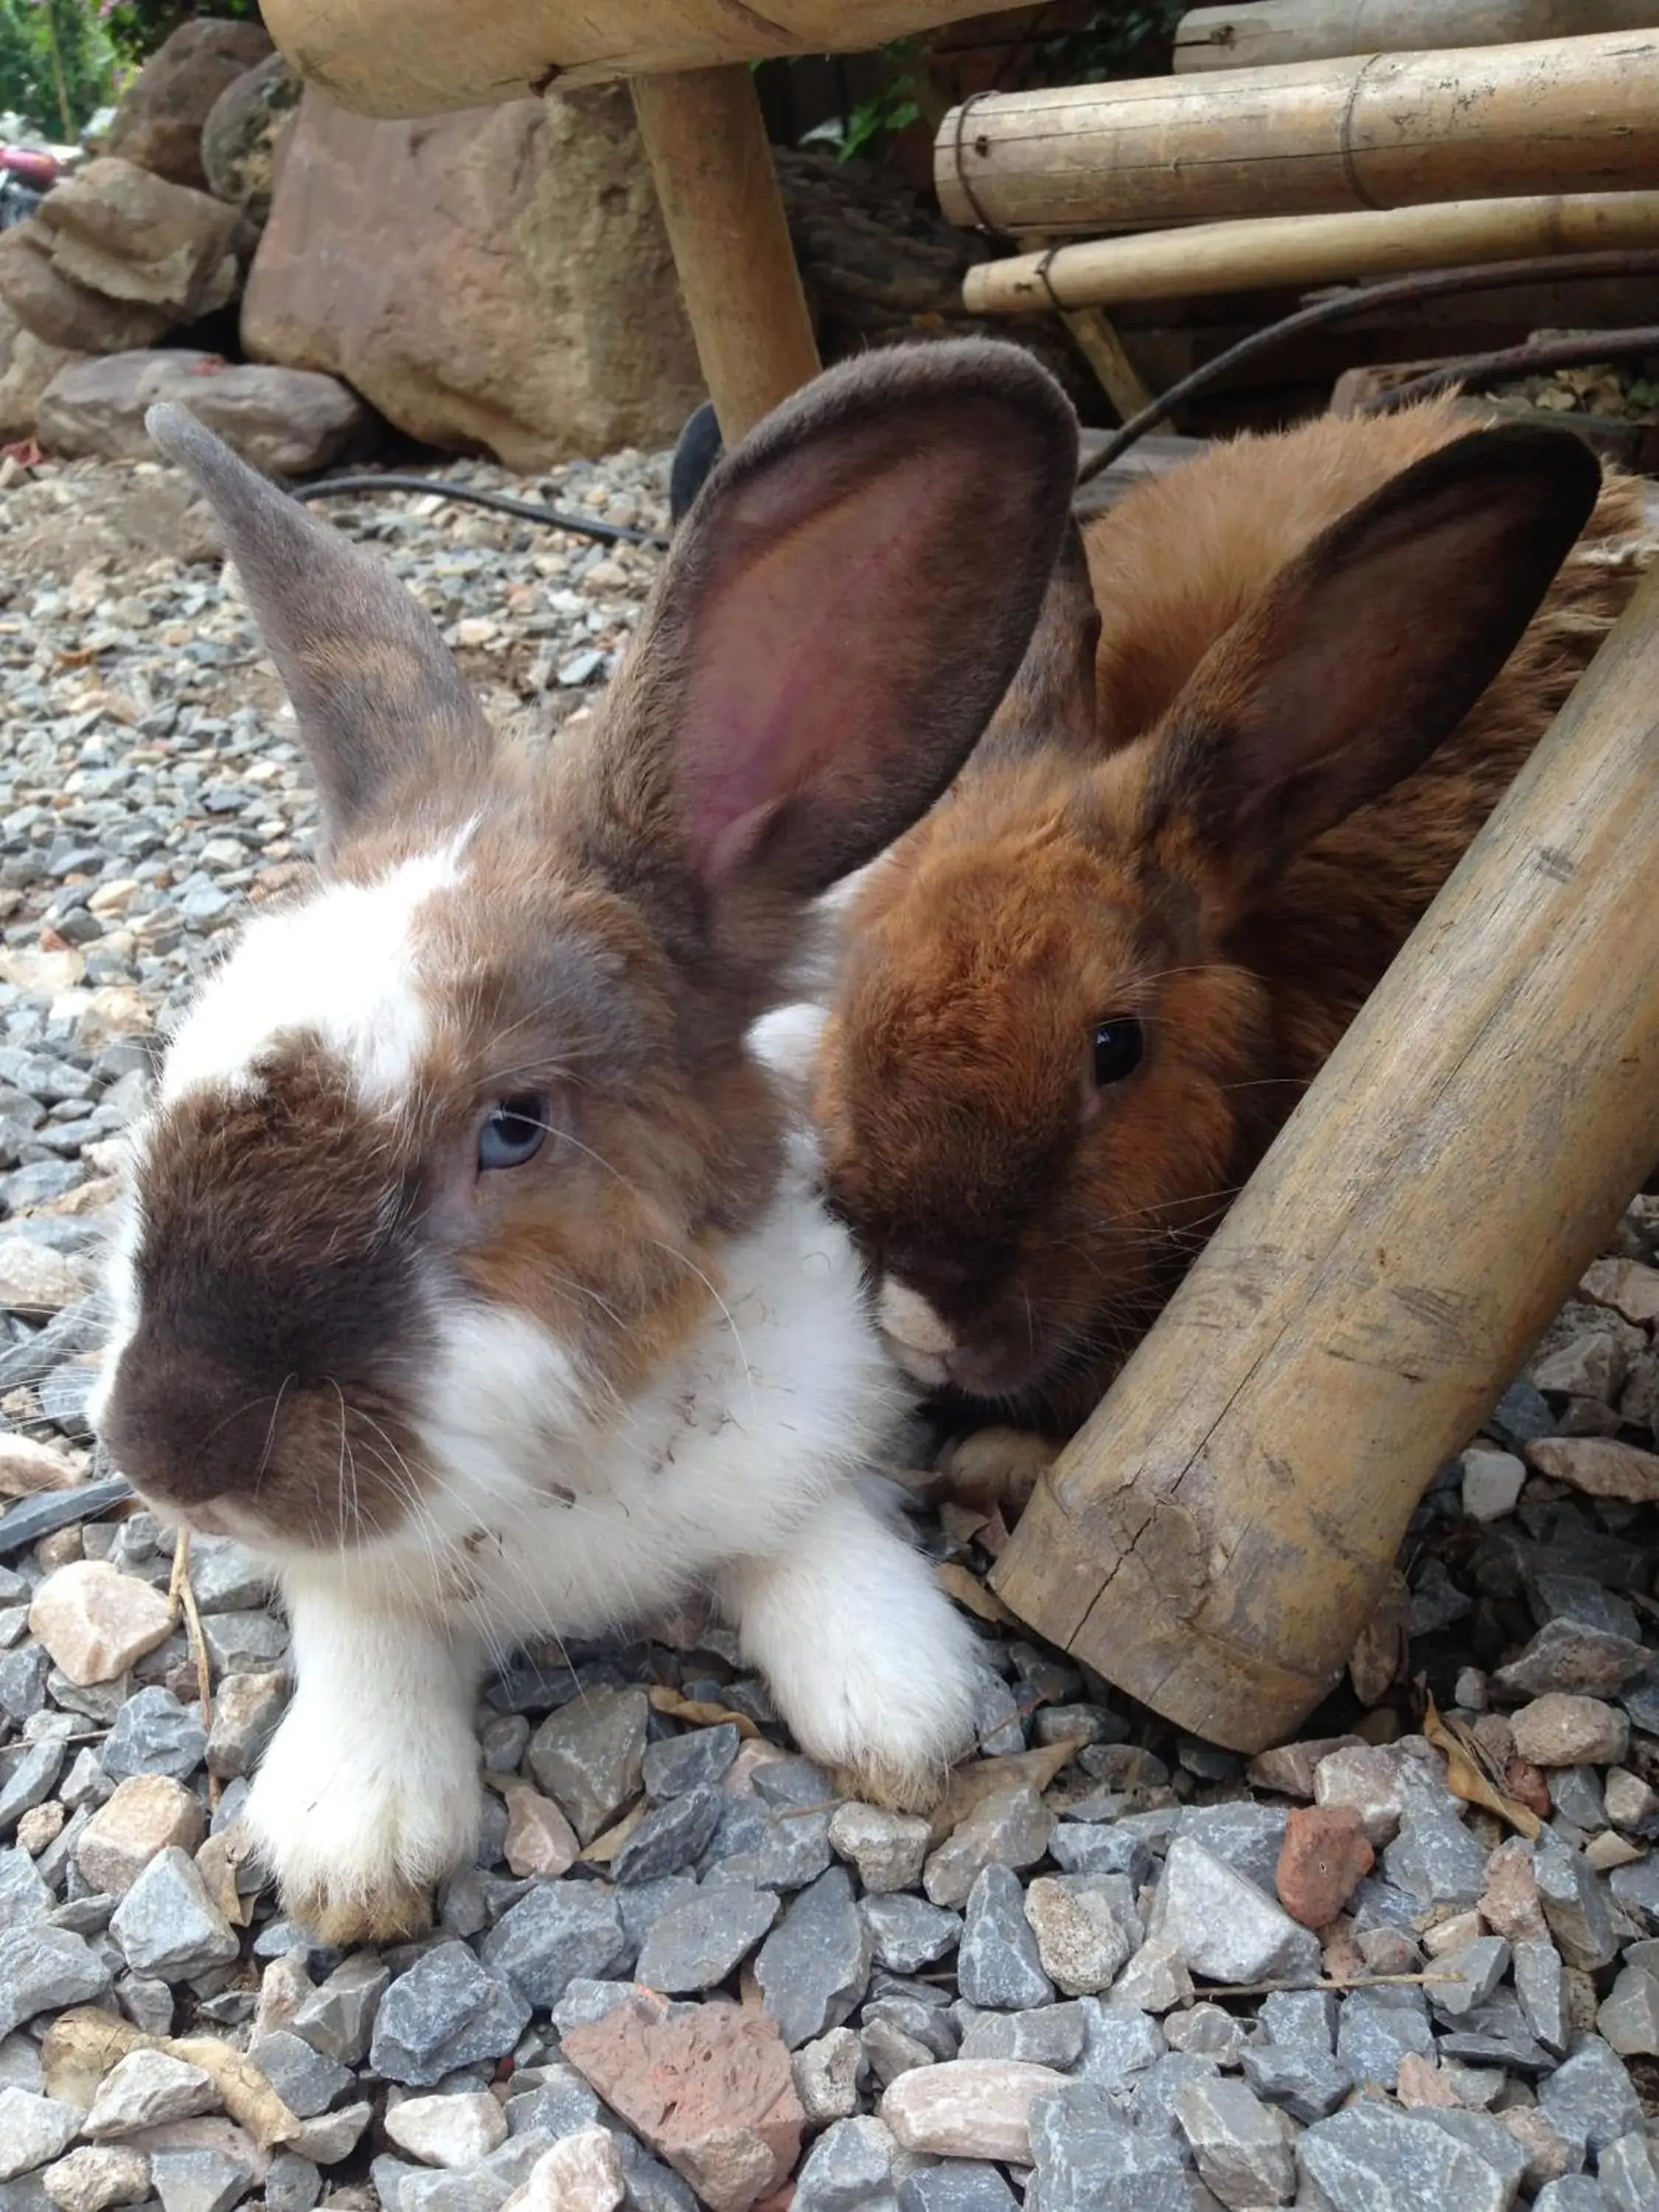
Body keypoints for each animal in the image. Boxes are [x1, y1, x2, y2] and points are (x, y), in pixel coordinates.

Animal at [91, 336, 1084, 1947]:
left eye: (512, 1129)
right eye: (178, 1056)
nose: (168, 1447)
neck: (571, 1461)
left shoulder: (821, 1417)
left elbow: (821, 1540)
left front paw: (907, 1711)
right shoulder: (350, 1580)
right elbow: (361, 1633)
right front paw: (356, 1842)